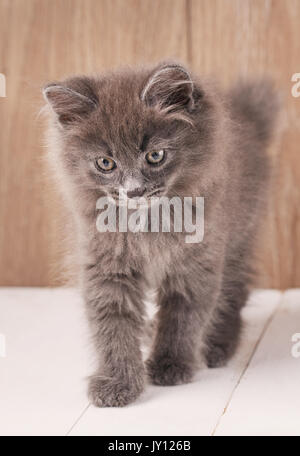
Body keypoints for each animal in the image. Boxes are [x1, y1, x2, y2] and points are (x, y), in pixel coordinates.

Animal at [43, 60, 280, 406]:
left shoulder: (197, 261)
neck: (148, 222)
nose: (134, 191)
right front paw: (118, 381)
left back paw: (218, 344)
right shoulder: (106, 267)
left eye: (155, 156)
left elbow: (183, 317)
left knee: (233, 290)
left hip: (239, 235)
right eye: (105, 163)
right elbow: (112, 324)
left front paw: (171, 364)